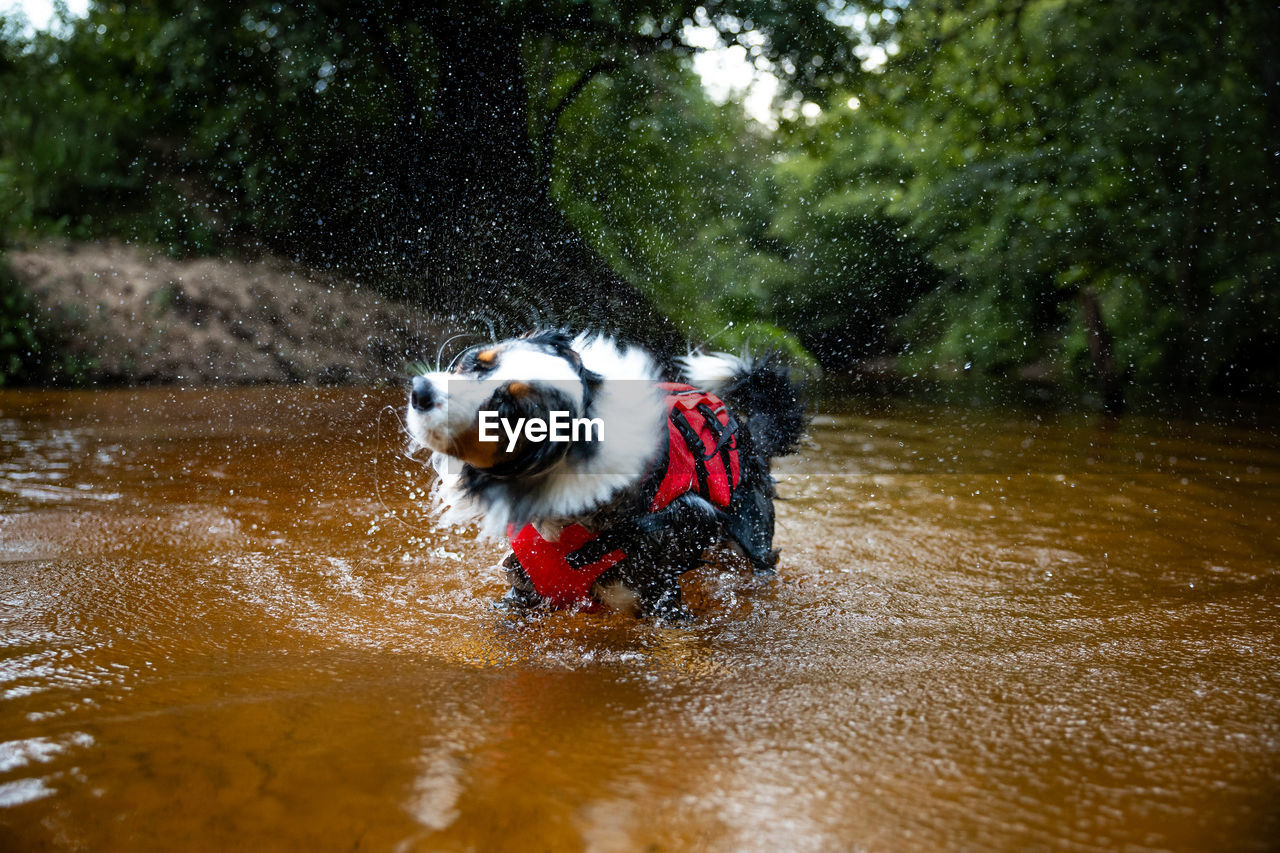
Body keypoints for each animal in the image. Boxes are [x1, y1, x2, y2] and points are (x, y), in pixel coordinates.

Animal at [404, 327, 803, 614]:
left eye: (507, 409)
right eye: (476, 362)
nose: (420, 390)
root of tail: (746, 435)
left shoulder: (661, 592)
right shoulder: (523, 590)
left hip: (752, 546)